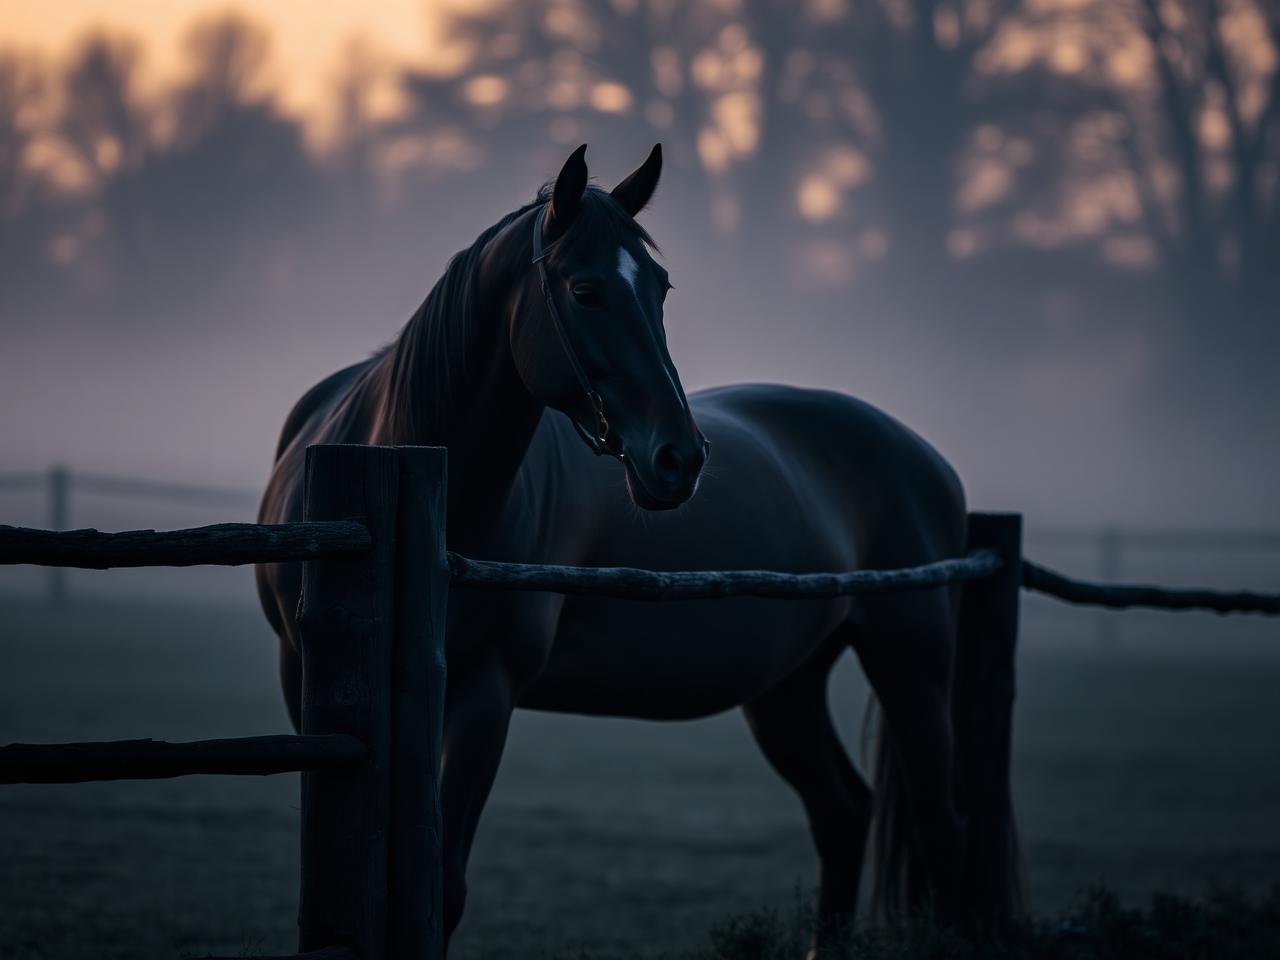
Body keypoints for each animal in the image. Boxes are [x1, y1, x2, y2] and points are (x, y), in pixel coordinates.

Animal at [257, 144, 1021, 951]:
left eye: (659, 288)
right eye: (586, 290)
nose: (680, 458)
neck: (406, 471)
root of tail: (928, 461)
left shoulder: (485, 691)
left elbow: (447, 886)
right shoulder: (305, 679)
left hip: (910, 665)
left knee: (942, 829)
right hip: (788, 690)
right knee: (844, 811)